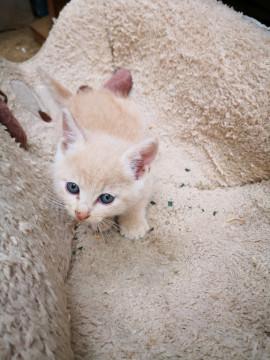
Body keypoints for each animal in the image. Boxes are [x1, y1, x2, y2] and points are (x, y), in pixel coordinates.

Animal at [45, 74, 157, 239]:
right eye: (72, 187)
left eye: (106, 198)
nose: (81, 214)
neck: (109, 135)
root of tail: (81, 96)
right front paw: (101, 223)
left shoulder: (148, 180)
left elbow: (139, 201)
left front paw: (133, 223)